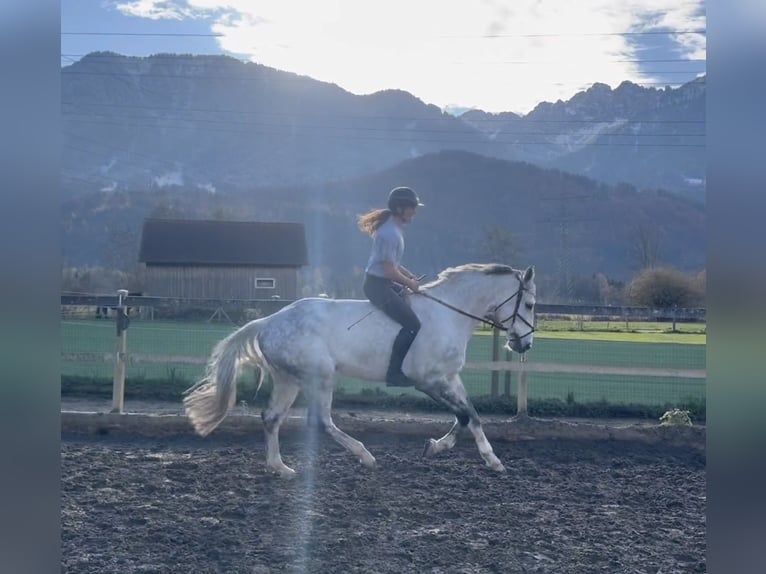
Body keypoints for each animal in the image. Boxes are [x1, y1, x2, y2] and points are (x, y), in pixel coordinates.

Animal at [183, 264, 536, 476]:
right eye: (530, 304)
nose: (525, 344)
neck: (448, 314)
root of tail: (269, 321)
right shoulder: (428, 380)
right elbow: (465, 415)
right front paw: (476, 455)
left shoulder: (451, 377)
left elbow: (470, 416)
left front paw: (469, 454)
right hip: (320, 376)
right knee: (321, 421)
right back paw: (364, 456)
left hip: (288, 379)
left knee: (271, 418)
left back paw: (280, 468)